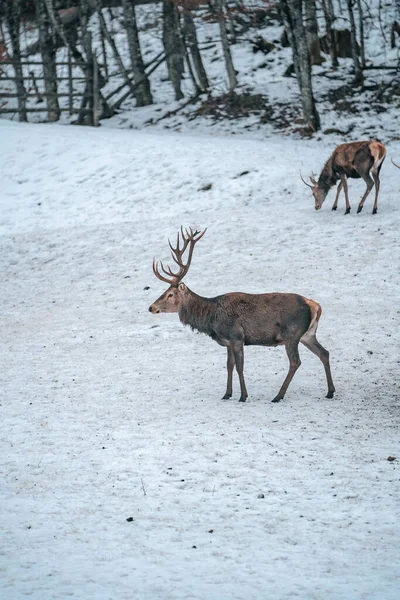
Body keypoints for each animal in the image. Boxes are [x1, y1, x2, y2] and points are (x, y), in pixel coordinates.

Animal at [148, 227, 336, 406]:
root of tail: (315, 305)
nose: (151, 307)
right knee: (324, 353)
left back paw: (278, 396)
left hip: (291, 334)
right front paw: (227, 394)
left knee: (295, 362)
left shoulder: (236, 336)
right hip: (307, 335)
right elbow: (229, 366)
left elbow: (239, 367)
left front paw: (243, 396)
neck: (211, 318)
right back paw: (330, 391)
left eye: (170, 294)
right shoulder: (228, 342)